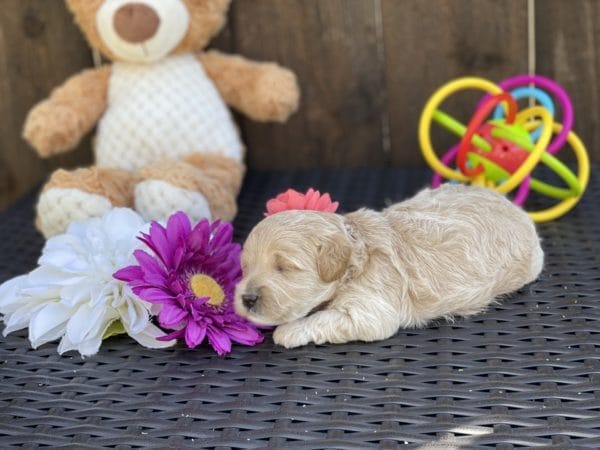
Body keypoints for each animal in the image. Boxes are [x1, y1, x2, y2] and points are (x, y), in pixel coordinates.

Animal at [234, 183, 544, 348]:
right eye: (246, 266)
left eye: (284, 267)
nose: (247, 299)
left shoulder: (370, 310)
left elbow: (324, 319)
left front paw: (289, 330)